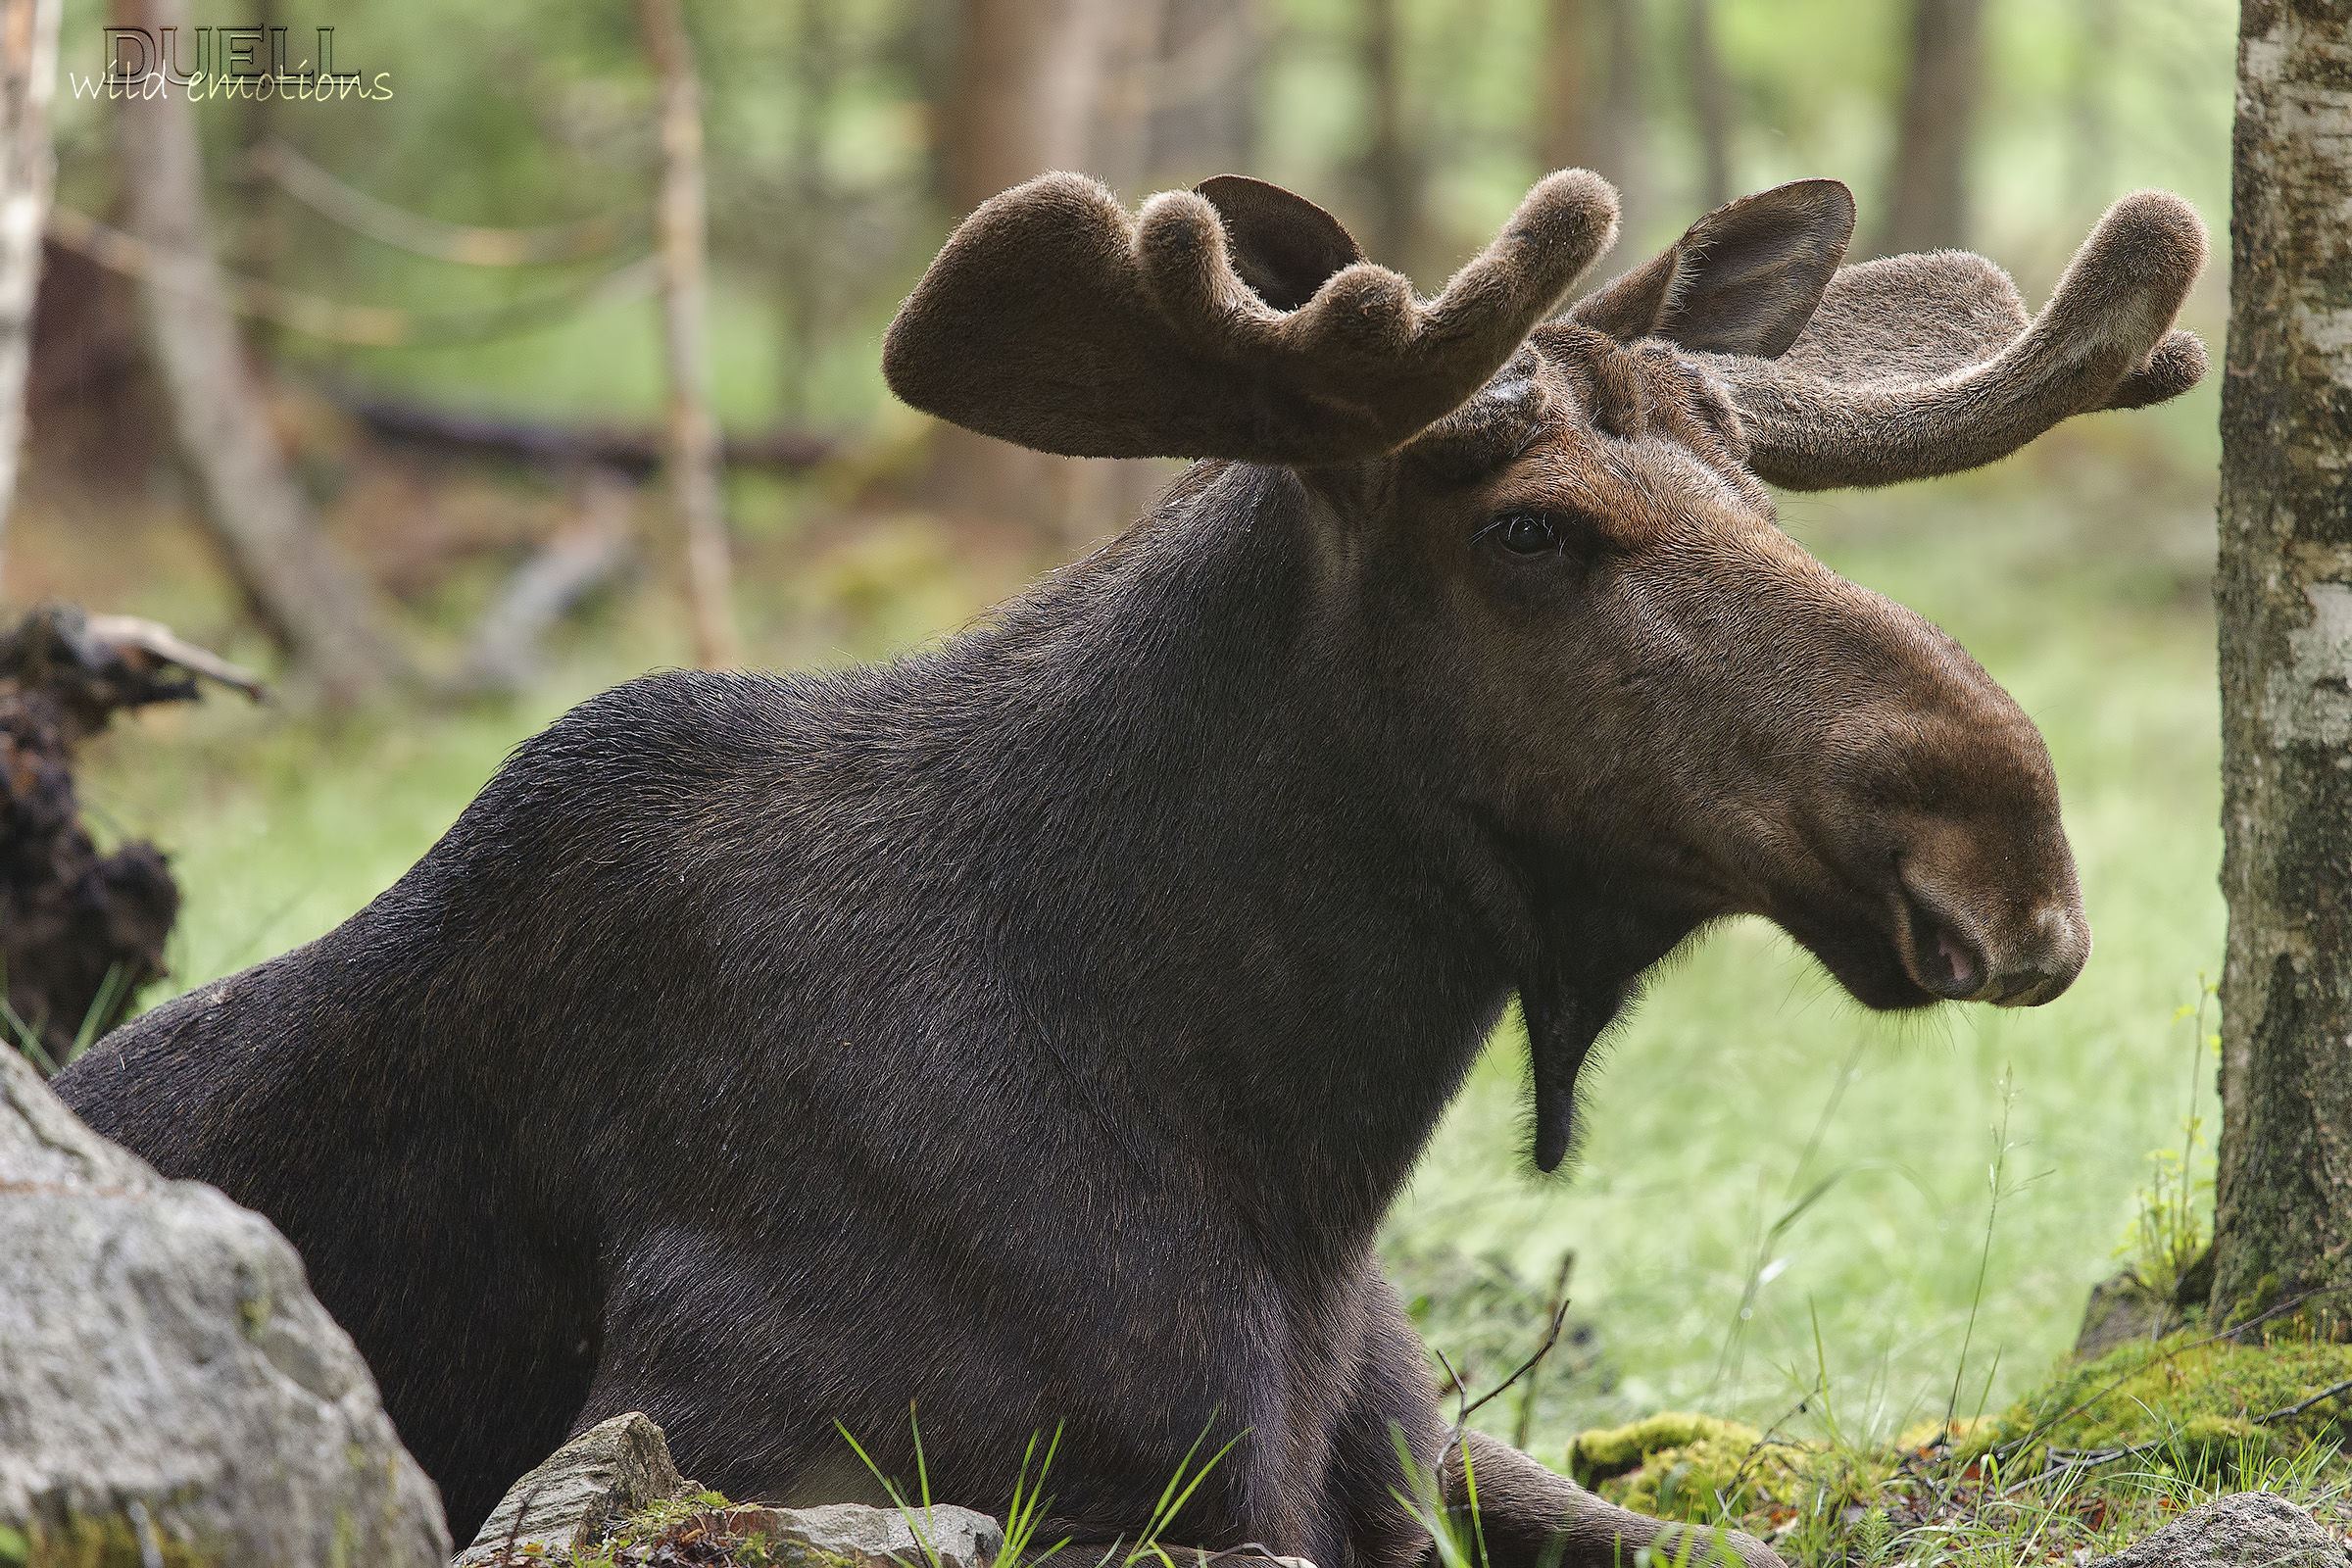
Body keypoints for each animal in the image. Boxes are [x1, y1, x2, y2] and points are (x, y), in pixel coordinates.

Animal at [54, 167, 2207, 1568]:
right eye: (1530, 530)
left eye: (1762, 490)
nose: (2007, 834)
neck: (1285, 1168)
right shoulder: (761, 1451)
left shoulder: (1428, 1453)